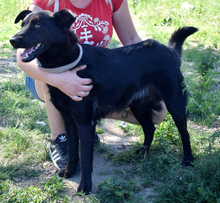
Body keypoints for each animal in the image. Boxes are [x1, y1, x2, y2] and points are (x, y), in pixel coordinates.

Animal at [9, 9, 198, 193]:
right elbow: (72, 151)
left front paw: (85, 187)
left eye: (37, 25)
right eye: (23, 24)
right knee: (150, 128)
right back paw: (143, 152)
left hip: (175, 104)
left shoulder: (85, 123)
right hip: (139, 106)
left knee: (184, 134)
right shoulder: (69, 121)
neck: (68, 65)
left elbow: (85, 159)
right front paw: (69, 171)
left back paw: (188, 160)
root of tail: (170, 50)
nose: (12, 40)